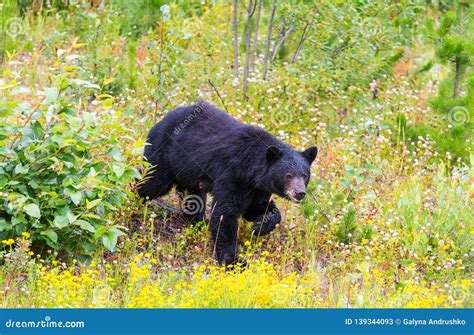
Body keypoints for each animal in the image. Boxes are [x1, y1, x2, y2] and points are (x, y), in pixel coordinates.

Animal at [138, 102, 318, 266]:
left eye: (305, 175)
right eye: (288, 175)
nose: (300, 192)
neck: (252, 168)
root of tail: (163, 118)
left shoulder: (258, 187)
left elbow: (256, 208)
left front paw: (261, 226)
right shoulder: (233, 174)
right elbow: (226, 213)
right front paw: (233, 261)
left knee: (193, 197)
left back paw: (198, 222)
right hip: (164, 153)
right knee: (152, 182)